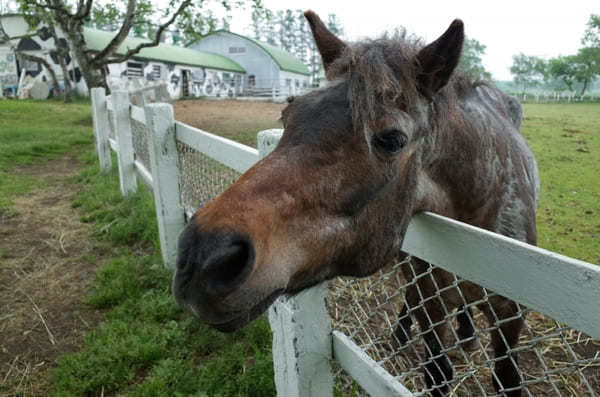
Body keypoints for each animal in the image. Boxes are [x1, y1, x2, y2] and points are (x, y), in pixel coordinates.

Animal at [172, 10, 540, 396]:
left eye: (392, 140)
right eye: (287, 117)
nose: (201, 258)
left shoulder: (511, 316)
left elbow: (506, 379)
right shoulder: (432, 304)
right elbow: (437, 370)